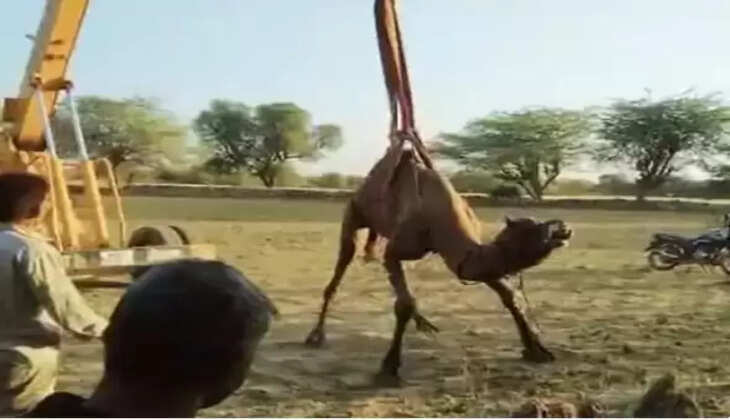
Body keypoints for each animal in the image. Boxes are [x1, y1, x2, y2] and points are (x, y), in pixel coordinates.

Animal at [304, 138, 572, 381]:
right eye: (534, 229)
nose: (563, 227)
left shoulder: (467, 259)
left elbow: (509, 295)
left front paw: (537, 350)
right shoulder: (395, 250)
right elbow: (404, 303)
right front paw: (389, 367)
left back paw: (422, 322)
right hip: (353, 212)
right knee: (342, 265)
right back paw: (316, 336)